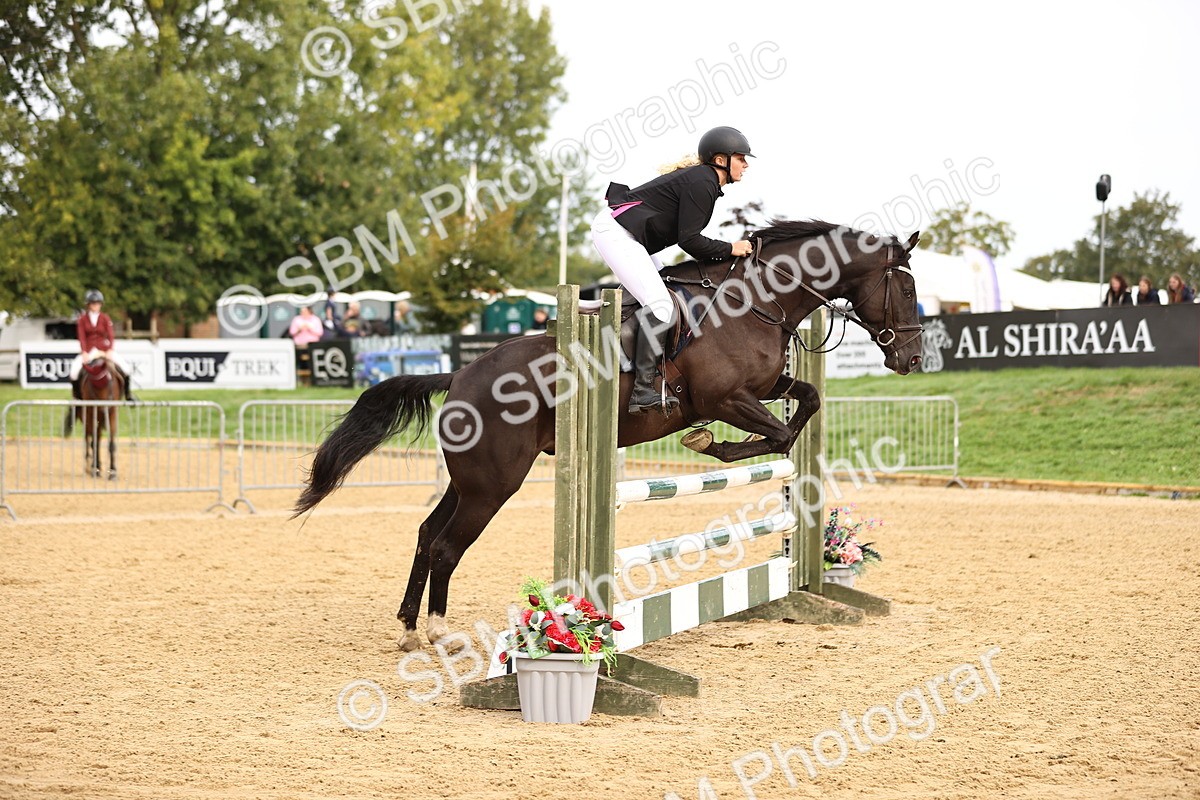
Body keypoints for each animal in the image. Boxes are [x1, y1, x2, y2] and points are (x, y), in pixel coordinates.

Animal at [294, 220, 925, 651]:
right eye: (907, 290)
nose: (914, 359)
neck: (756, 302)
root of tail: (462, 373)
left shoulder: (768, 387)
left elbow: (806, 406)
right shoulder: (727, 399)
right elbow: (777, 439)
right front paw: (709, 445)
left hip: (471, 479)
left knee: (428, 535)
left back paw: (408, 629)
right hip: (494, 484)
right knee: (447, 545)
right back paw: (439, 633)